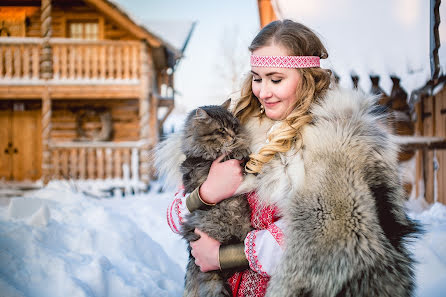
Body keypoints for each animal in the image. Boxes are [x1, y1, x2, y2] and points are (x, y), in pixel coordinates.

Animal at [179, 100, 254, 296]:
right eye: (221, 130)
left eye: (233, 126)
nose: (233, 136)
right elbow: (227, 151)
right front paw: (238, 148)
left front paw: (240, 144)